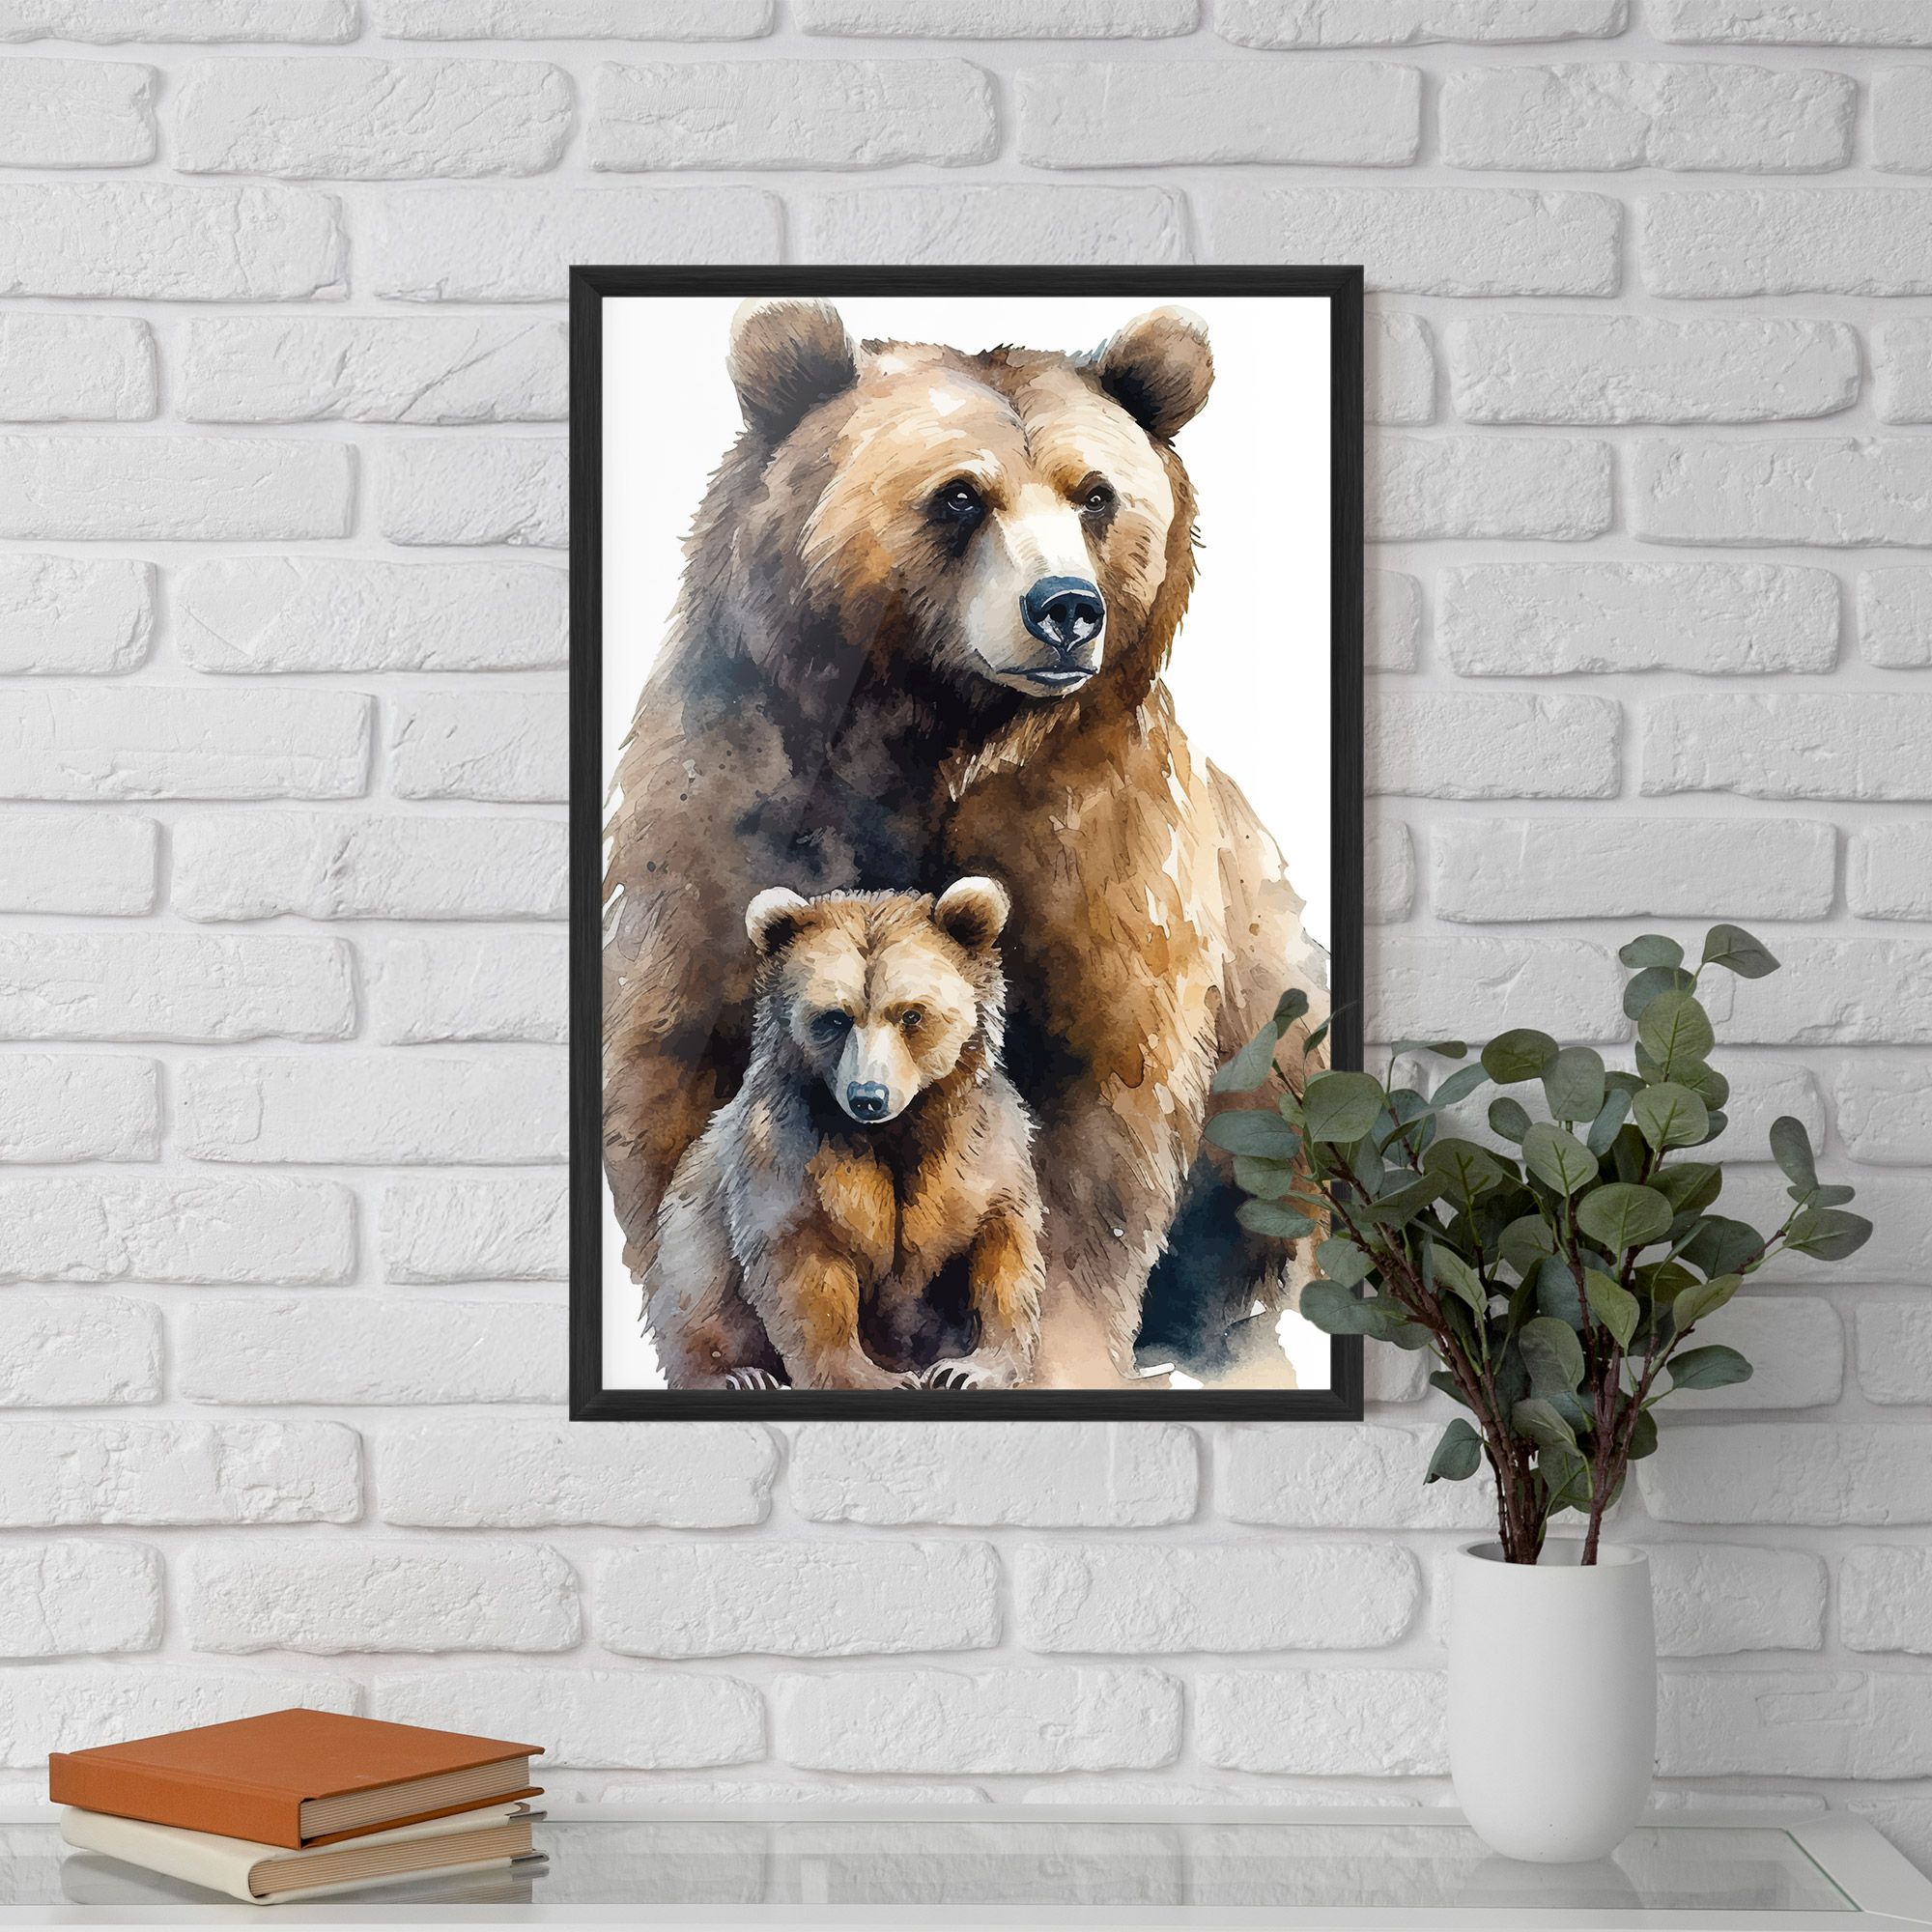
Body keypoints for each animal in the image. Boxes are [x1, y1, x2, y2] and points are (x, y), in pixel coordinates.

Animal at [644, 876, 1044, 1392]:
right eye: (834, 1017)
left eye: (911, 1015)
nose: (868, 1096)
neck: (893, 1132)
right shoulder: (789, 1155)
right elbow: (807, 1271)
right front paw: (875, 1378)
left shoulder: (979, 1149)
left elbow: (1002, 1250)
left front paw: (970, 1368)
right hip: (690, 1218)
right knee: (693, 1288)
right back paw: (736, 1375)